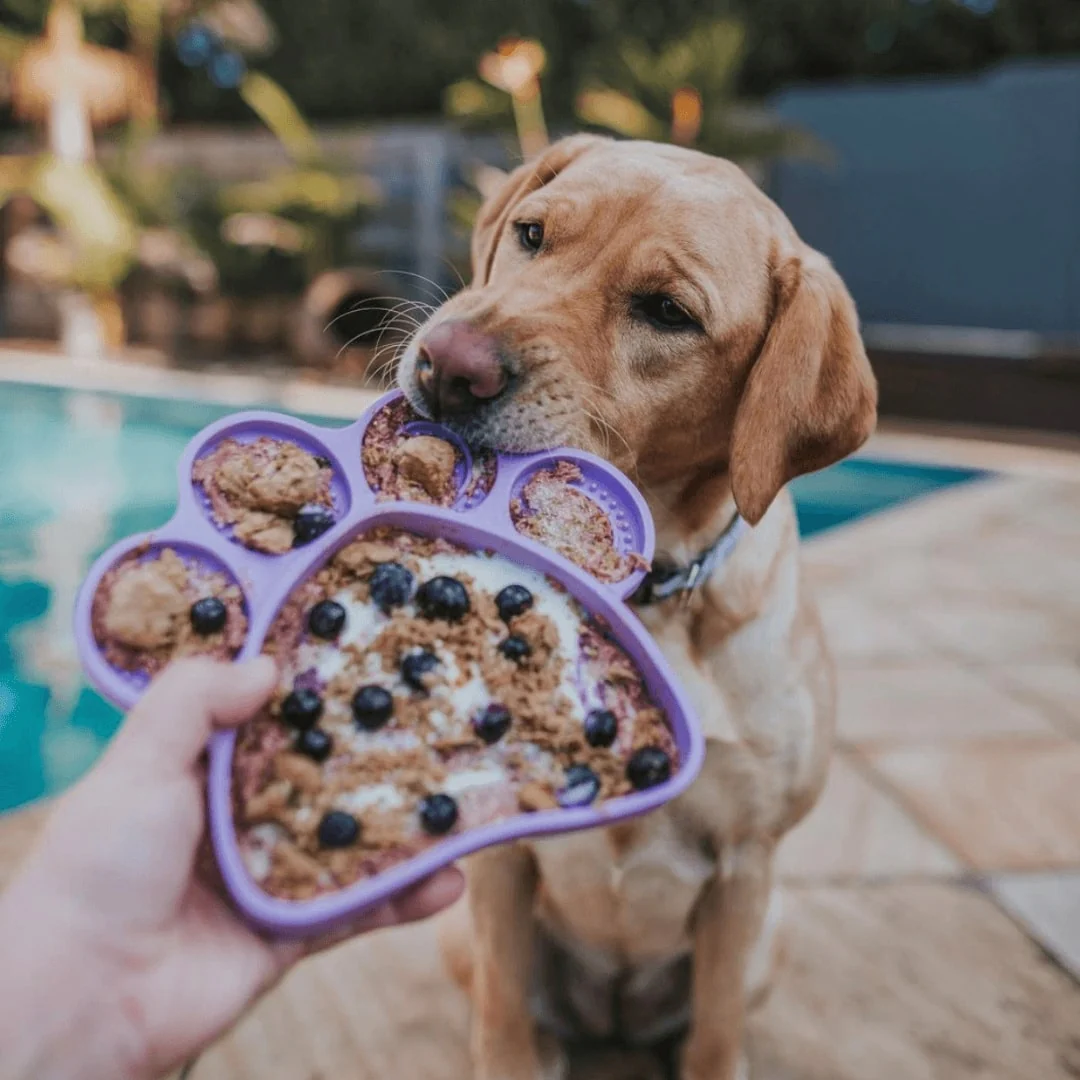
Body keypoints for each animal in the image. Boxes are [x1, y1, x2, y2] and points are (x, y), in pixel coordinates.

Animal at [397, 135, 876, 1080]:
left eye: (666, 312)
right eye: (532, 234)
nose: (448, 364)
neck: (647, 598)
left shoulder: (745, 870)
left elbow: (715, 1038)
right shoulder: (498, 863)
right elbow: (502, 1025)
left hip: (771, 936)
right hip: (461, 934)